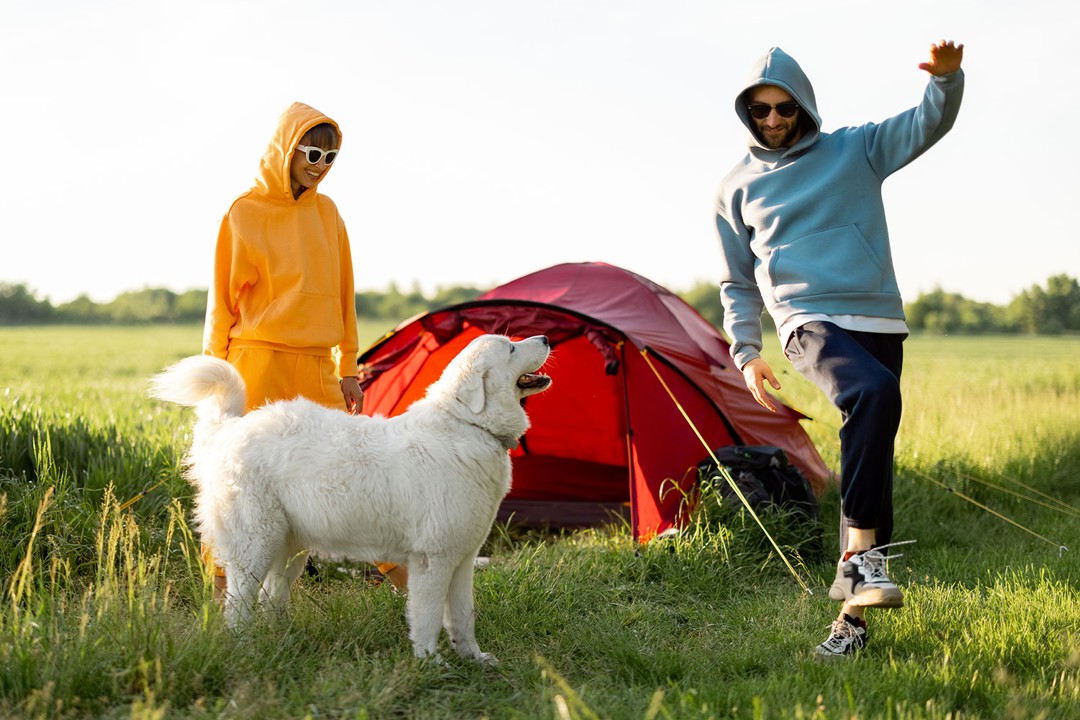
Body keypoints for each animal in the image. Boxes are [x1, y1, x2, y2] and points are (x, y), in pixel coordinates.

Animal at [149, 334, 552, 660]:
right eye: (511, 347)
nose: (546, 337)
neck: (469, 425)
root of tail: (230, 428)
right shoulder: (432, 560)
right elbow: (427, 618)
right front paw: (430, 663)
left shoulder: (462, 559)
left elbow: (463, 618)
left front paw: (474, 659)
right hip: (255, 544)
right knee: (239, 605)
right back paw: (246, 649)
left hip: (290, 548)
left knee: (270, 598)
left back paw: (282, 642)